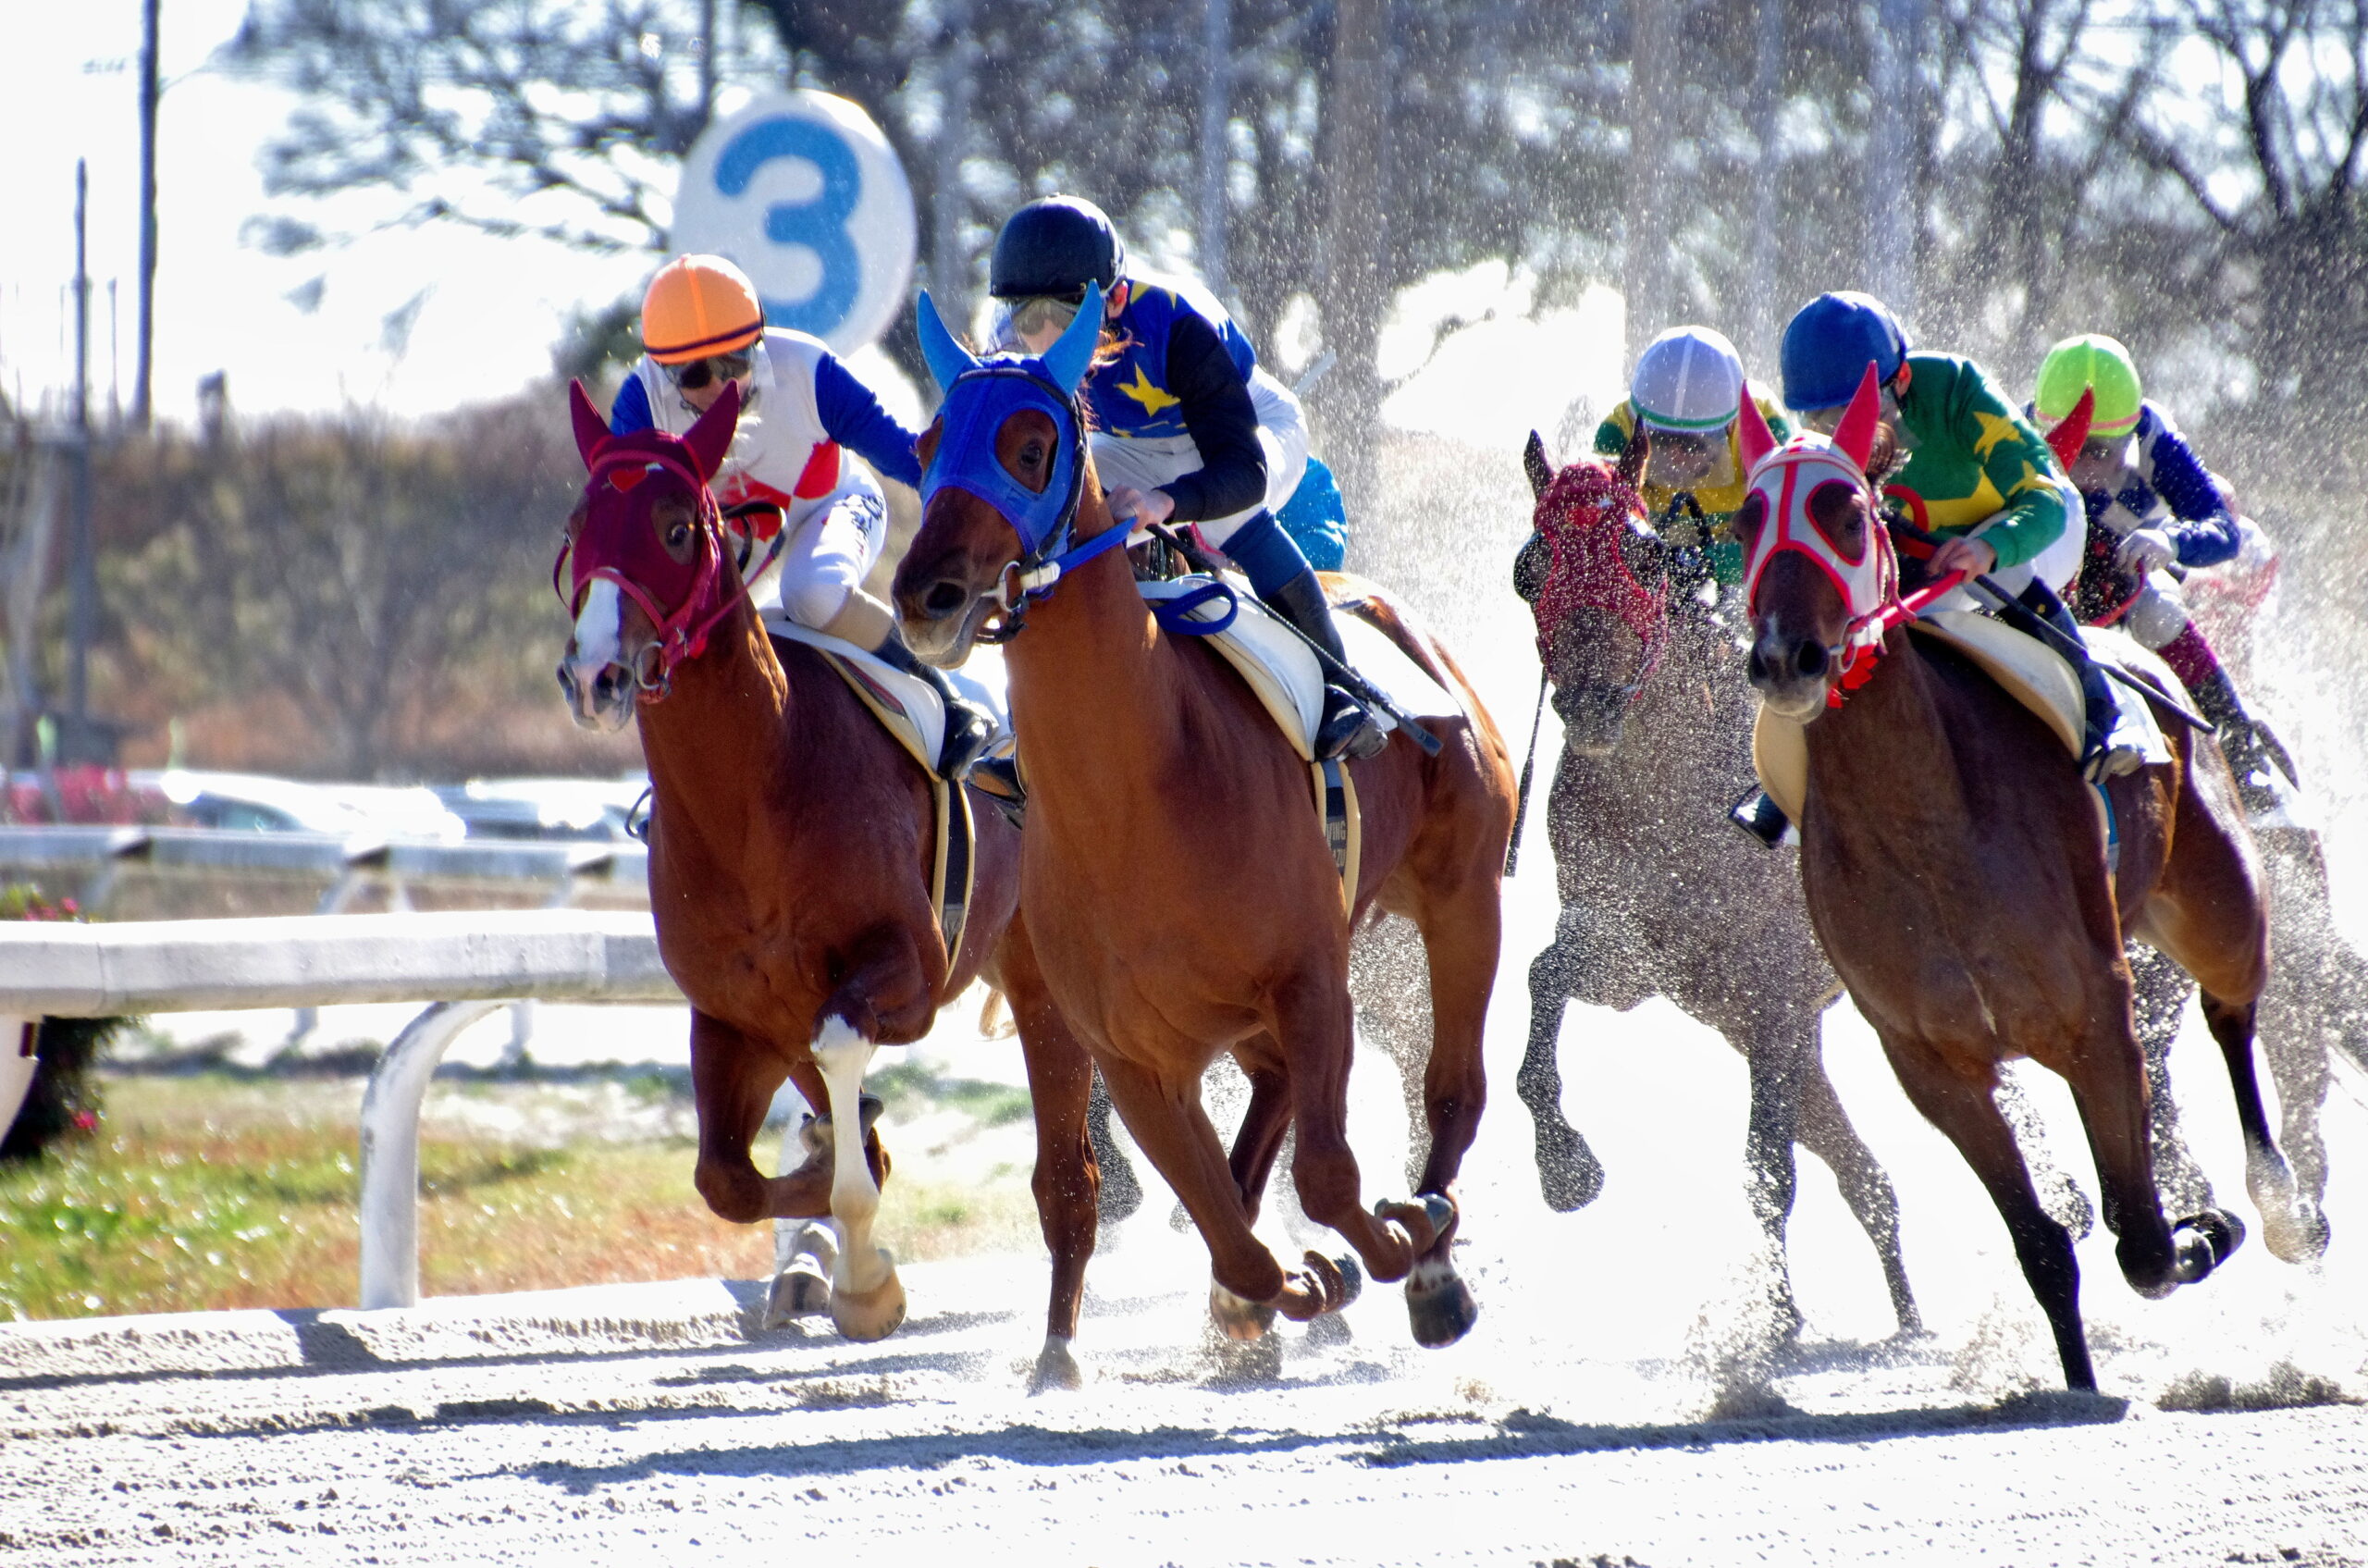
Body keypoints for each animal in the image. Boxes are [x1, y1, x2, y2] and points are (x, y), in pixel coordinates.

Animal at [552, 380, 1103, 1377]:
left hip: (1046, 985)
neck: (755, 796)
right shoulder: (738, 1015)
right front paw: (827, 1201)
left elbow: (845, 1068)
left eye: (677, 527)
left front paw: (863, 1281)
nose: (597, 674)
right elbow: (728, 1179)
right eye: (579, 524)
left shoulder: (906, 973)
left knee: (1070, 1173)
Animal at [890, 288, 1517, 1347]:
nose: (925, 595)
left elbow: (1327, 1175)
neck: (1132, 802)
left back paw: (1432, 1258)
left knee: (1452, 1092)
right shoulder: (1132, 1053)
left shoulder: (1312, 984)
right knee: (1266, 1121)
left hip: (1463, 895)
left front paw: (1390, 1246)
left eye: (1032, 446)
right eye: (928, 443)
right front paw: (1292, 1284)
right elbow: (1233, 1236)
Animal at [1512, 432, 1923, 1340]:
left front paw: (1772, 1317)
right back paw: (1911, 1317)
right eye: (1529, 569)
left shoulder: (1773, 990)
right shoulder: (1635, 953)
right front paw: (1563, 1164)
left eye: (1643, 556)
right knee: (1868, 1179)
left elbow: (1767, 1169)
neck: (1676, 797)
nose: (1591, 702)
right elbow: (1545, 977)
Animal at [1737, 367, 2319, 1391]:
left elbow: (2142, 1239)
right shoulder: (1932, 1064)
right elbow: (2046, 1245)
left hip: (2217, 904)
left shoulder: (2094, 1018)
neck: (1924, 826)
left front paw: (2205, 1225)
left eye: (1845, 511)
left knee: (2230, 1011)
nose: (1783, 657)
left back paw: (2280, 1202)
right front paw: (2078, 1380)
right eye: (1743, 522)